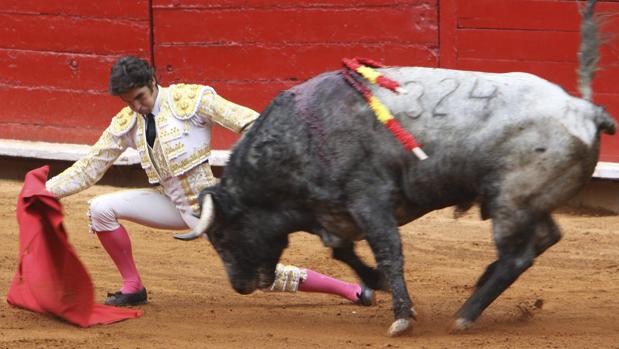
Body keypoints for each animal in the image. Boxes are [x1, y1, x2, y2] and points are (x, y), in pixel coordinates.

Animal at [177, 0, 616, 338]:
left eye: (221, 235)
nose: (240, 286)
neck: (299, 137)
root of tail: (584, 109)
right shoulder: (333, 213)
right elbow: (343, 252)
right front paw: (377, 287)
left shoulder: (370, 201)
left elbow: (389, 252)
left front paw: (403, 316)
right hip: (527, 200)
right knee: (544, 237)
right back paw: (476, 291)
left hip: (511, 200)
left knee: (518, 255)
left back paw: (465, 315)